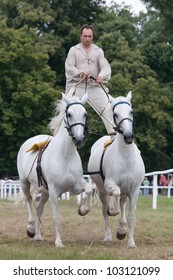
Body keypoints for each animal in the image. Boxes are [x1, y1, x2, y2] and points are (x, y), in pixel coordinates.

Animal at [16, 92, 92, 247]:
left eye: (85, 114)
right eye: (69, 114)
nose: (79, 139)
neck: (65, 156)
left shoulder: (75, 186)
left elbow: (88, 189)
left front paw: (82, 210)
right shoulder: (54, 191)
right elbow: (57, 217)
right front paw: (59, 243)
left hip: (44, 191)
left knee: (39, 209)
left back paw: (38, 236)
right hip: (25, 183)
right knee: (29, 202)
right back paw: (30, 229)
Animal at [87, 91, 145, 247]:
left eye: (131, 111)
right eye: (115, 114)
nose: (128, 136)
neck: (126, 158)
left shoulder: (134, 190)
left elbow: (130, 217)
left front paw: (130, 242)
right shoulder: (110, 184)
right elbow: (114, 198)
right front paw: (113, 211)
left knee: (122, 204)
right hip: (101, 190)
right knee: (105, 211)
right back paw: (108, 236)